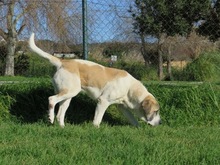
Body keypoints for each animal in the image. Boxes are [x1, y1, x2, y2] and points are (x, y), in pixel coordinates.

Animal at [28, 32, 161, 127]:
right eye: (156, 111)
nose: (160, 123)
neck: (130, 88)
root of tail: (62, 62)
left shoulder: (122, 107)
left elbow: (133, 120)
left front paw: (139, 128)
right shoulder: (103, 101)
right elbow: (97, 119)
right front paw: (96, 129)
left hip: (68, 96)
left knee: (60, 114)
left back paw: (62, 127)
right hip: (71, 91)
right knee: (51, 100)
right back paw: (50, 117)